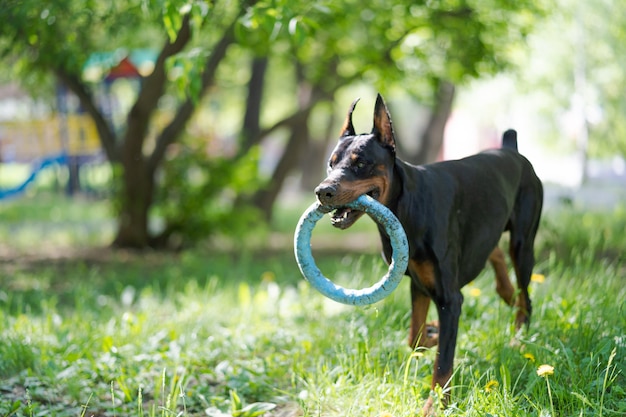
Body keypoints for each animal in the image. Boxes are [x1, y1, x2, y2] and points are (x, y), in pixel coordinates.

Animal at [312, 93, 540, 412]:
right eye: (330, 164)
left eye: (361, 163)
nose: (323, 191)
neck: (408, 206)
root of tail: (510, 150)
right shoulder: (418, 282)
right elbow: (415, 338)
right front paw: (432, 329)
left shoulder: (449, 297)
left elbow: (442, 362)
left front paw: (435, 406)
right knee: (493, 254)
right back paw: (505, 291)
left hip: (523, 243)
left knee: (525, 299)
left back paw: (518, 340)